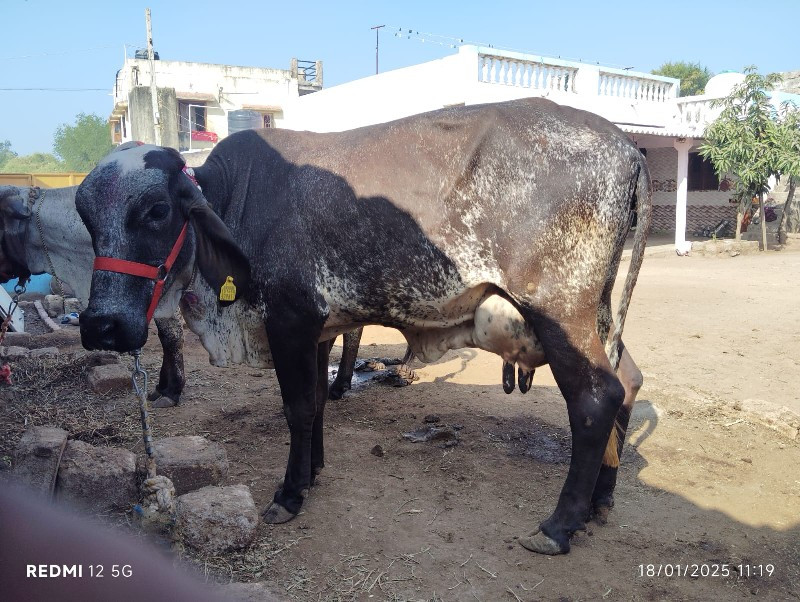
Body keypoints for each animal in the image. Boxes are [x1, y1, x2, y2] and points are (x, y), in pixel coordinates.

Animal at [75, 98, 648, 552]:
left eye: (156, 210)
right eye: (84, 215)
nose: (102, 327)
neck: (238, 197)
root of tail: (627, 146)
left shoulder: (289, 323)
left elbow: (298, 406)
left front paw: (289, 492)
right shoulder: (319, 331)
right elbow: (318, 400)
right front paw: (313, 471)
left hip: (559, 311)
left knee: (596, 398)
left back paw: (559, 525)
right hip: (594, 312)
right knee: (628, 381)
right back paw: (599, 500)